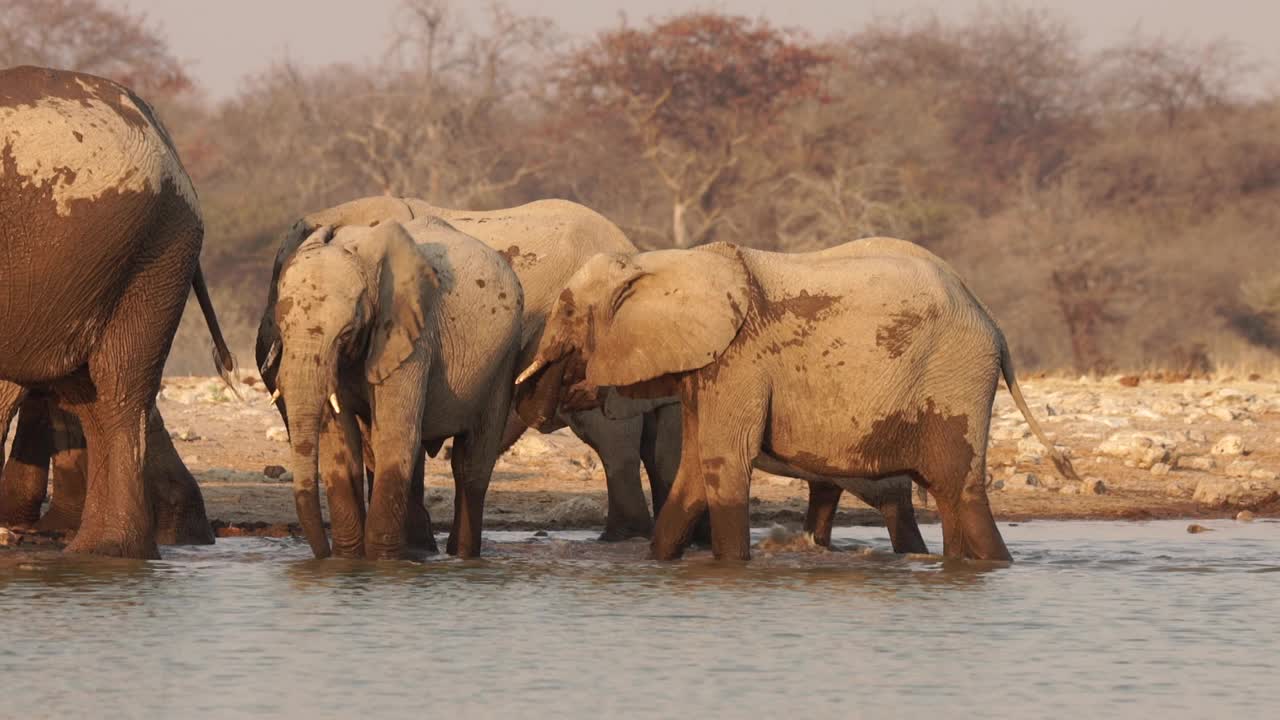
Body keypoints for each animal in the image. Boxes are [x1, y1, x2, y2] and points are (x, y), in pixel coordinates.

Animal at [267, 215, 522, 558]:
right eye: (280, 329)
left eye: (346, 333)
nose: (322, 554)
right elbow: (341, 444)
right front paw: (347, 560)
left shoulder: (412, 337)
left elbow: (394, 436)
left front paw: (380, 561)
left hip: (504, 360)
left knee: (472, 463)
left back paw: (462, 557)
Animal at [514, 237, 1075, 561]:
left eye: (567, 309)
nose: (538, 405)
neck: (662, 264)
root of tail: (994, 326)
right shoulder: (709, 365)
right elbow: (697, 467)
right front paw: (658, 562)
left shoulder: (739, 359)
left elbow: (724, 461)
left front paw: (731, 567)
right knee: (947, 494)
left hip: (954, 378)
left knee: (959, 490)